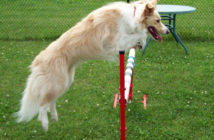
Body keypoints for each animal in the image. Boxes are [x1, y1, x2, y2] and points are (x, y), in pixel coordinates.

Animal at [15, 0, 169, 131]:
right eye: (158, 20)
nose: (167, 31)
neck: (133, 16)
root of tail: (37, 60)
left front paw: (139, 44)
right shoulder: (116, 42)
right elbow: (139, 34)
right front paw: (141, 40)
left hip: (66, 81)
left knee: (51, 101)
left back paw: (54, 117)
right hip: (58, 83)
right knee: (42, 105)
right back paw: (45, 124)